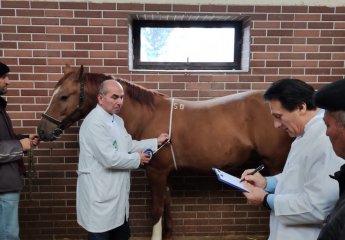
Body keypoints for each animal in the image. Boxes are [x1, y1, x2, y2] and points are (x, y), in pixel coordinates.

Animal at [37, 64, 290, 239]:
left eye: (64, 96)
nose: (42, 130)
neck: (147, 117)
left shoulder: (156, 172)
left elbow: (157, 210)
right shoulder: (165, 173)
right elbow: (167, 207)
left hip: (276, 162)